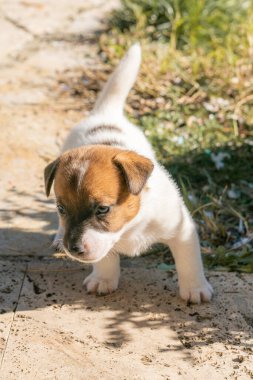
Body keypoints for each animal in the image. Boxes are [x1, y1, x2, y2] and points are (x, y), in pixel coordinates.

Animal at [44, 42, 212, 302]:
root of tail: (105, 114)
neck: (130, 226)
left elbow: (189, 262)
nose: (74, 249)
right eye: (61, 208)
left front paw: (195, 289)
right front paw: (103, 279)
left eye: (103, 209)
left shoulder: (181, 229)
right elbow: (105, 257)